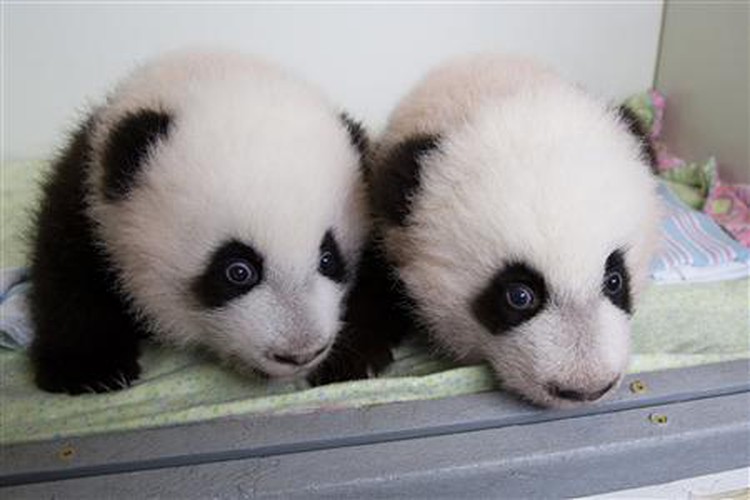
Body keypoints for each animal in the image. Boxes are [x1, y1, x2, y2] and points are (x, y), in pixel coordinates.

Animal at [29, 50, 369, 394]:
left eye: (328, 259)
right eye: (237, 271)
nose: (300, 352)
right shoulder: (88, 198)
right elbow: (68, 272)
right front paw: (92, 370)